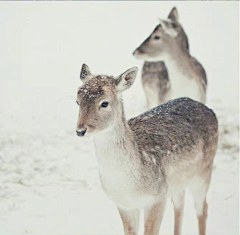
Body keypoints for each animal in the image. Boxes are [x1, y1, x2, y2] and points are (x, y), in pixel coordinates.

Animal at [76, 64, 218, 235]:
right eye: (77, 101)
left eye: (104, 103)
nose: (80, 130)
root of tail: (209, 110)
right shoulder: (124, 205)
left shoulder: (157, 198)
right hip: (179, 181)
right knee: (180, 205)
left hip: (204, 172)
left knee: (202, 208)